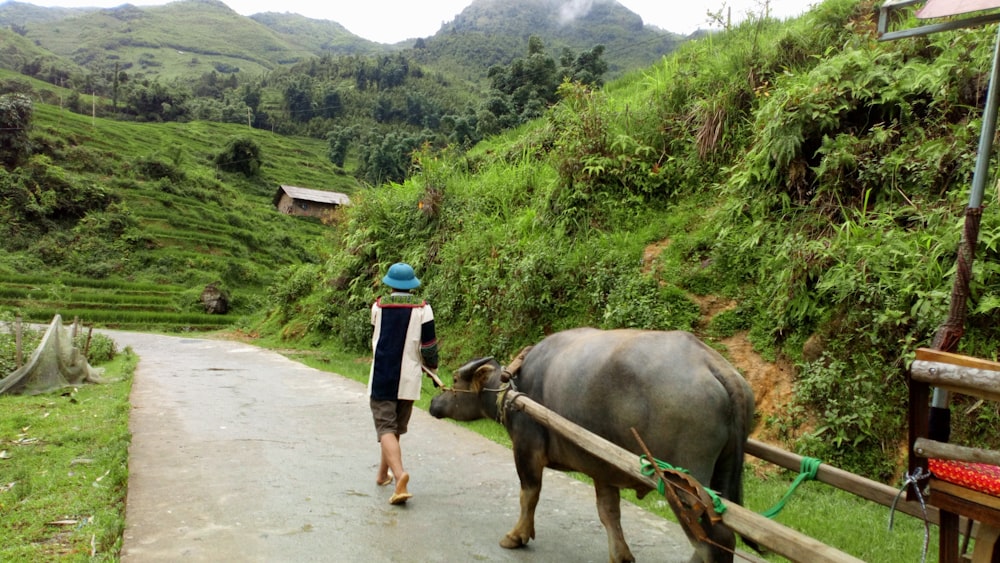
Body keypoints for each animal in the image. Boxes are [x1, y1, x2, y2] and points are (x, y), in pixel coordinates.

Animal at [426, 328, 752, 563]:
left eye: (455, 379)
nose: (433, 403)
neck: (512, 391)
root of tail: (715, 366)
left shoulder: (527, 449)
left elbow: (528, 495)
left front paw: (517, 536)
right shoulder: (603, 468)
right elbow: (608, 513)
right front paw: (620, 555)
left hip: (683, 485)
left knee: (714, 541)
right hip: (721, 477)